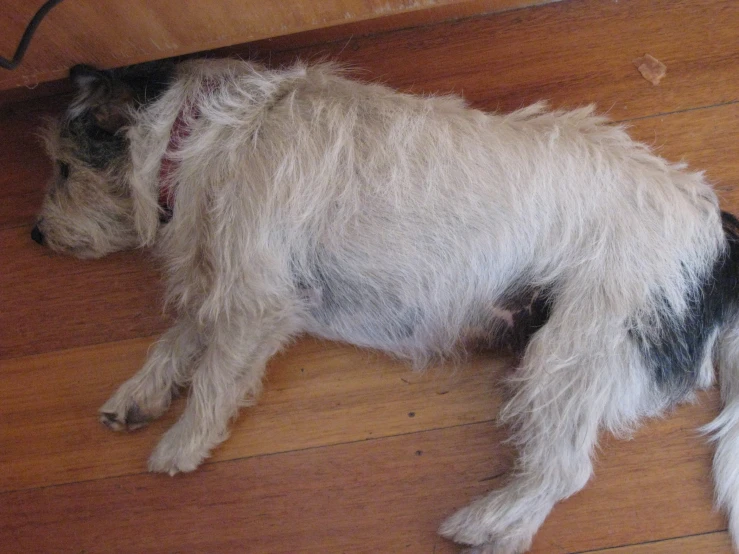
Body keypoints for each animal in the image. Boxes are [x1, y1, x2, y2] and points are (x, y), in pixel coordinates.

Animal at [34, 58, 739, 548]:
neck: (200, 132)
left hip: (575, 350)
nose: (35, 235)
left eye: (65, 169)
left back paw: (484, 522)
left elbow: (212, 375)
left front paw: (182, 443)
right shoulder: (221, 283)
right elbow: (179, 336)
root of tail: (720, 239)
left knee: (563, 469)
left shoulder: (256, 297)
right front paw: (138, 394)